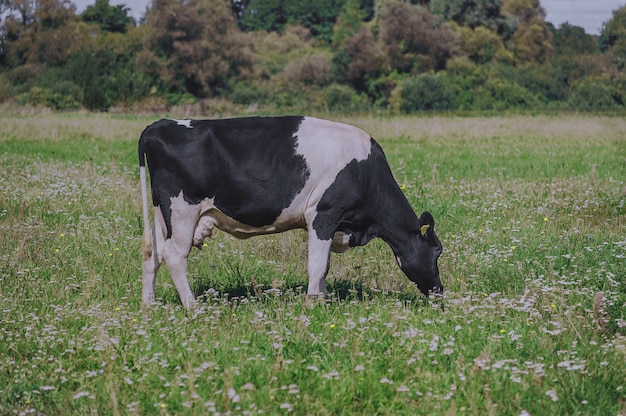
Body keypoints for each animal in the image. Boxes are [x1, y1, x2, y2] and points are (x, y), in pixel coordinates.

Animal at [139, 116, 442, 308]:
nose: (440, 293)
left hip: (162, 213)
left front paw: (323, 300)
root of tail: (159, 125)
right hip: (182, 209)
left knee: (152, 252)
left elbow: (324, 267)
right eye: (437, 252)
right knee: (174, 256)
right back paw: (192, 307)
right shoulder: (324, 215)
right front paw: (312, 305)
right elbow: (318, 265)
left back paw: (149, 305)